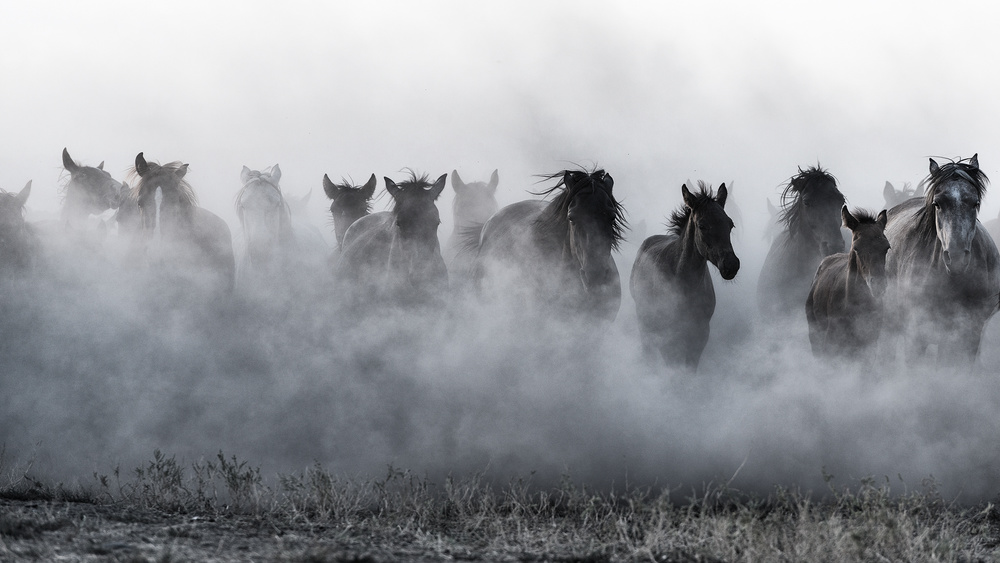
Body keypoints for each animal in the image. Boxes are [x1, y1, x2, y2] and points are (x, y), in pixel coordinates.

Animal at [630, 182, 739, 370]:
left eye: (730, 224)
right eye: (702, 225)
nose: (731, 265)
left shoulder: (700, 334)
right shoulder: (668, 335)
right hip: (645, 324)